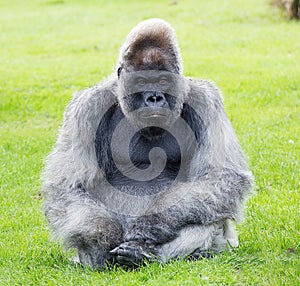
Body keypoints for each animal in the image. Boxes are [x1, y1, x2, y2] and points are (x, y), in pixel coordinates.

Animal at [41, 19, 253, 270]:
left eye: (163, 81)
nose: (154, 98)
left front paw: (151, 225)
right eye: (141, 82)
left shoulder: (205, 101)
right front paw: (104, 240)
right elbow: (69, 186)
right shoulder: (87, 107)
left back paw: (147, 254)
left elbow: (222, 176)